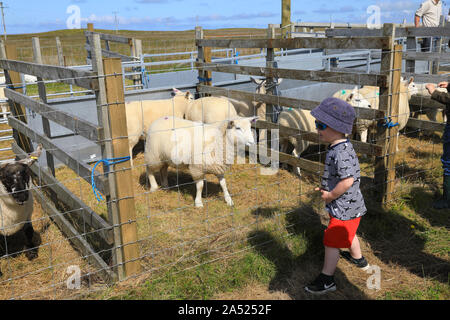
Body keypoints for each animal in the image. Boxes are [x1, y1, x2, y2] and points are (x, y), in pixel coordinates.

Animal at [0, 144, 42, 276]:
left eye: (27, 174)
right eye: (4, 178)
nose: (22, 196)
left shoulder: (27, 216)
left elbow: (29, 232)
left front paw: (31, 253)